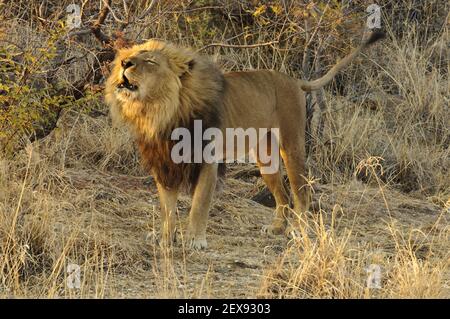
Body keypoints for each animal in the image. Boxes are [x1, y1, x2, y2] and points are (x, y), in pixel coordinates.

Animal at [105, 30, 384, 250]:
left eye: (150, 60)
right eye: (133, 56)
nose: (124, 62)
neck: (158, 111)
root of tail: (294, 80)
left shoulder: (207, 161)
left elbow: (199, 203)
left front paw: (195, 240)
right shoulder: (164, 163)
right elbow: (167, 207)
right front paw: (165, 238)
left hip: (292, 144)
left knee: (301, 191)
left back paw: (296, 229)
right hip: (266, 158)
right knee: (283, 195)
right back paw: (276, 228)